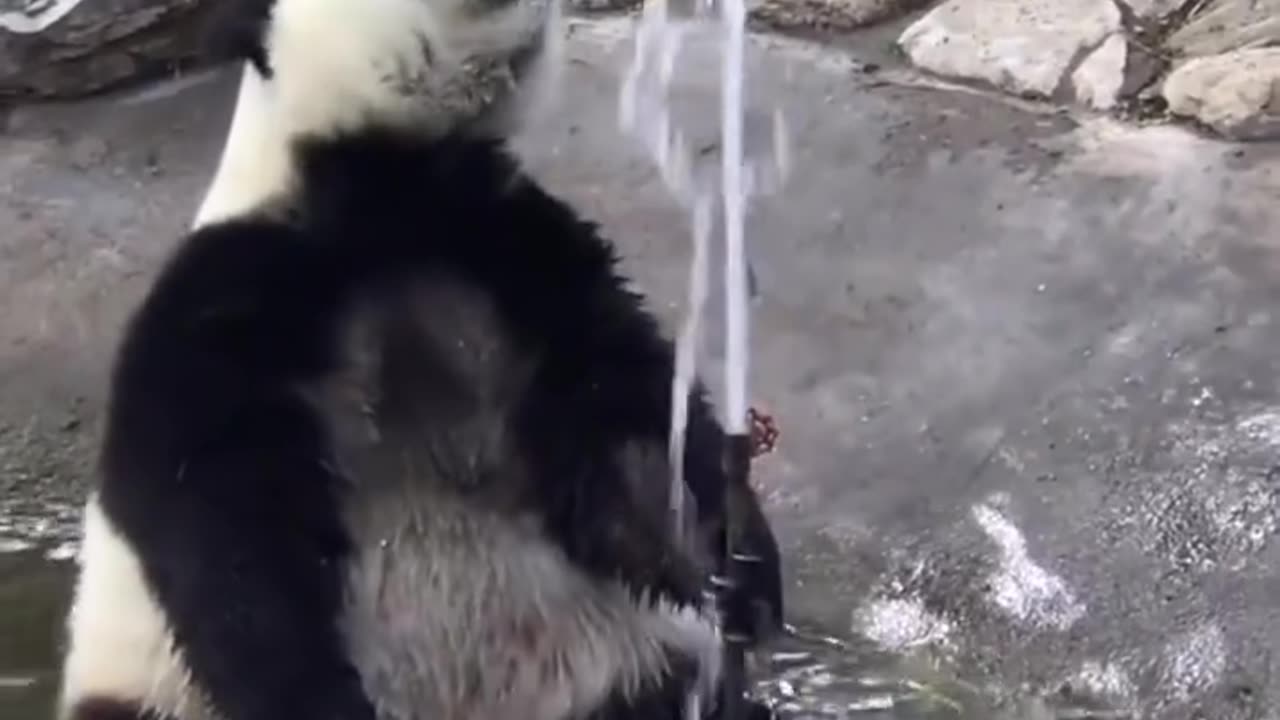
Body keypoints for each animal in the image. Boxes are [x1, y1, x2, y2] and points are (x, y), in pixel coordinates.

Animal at [57, 1, 778, 717]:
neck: (390, 183)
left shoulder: (510, 252)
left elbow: (624, 399)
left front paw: (740, 565)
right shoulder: (233, 296)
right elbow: (222, 520)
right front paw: (316, 696)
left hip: (603, 657)